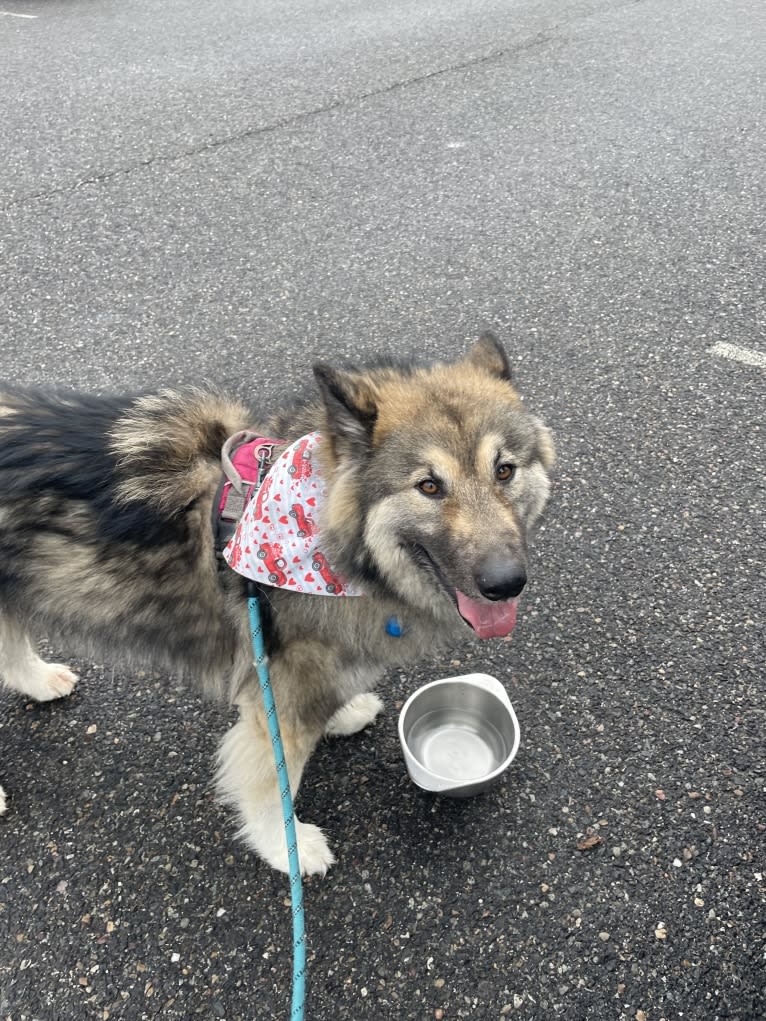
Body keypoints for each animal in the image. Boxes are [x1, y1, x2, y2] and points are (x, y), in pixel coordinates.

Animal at [0, 332, 555, 869]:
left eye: (504, 471)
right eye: (429, 486)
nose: (506, 583)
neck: (326, 543)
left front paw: (343, 713)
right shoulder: (280, 702)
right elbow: (271, 785)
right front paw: (287, 848)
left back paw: (41, 681)